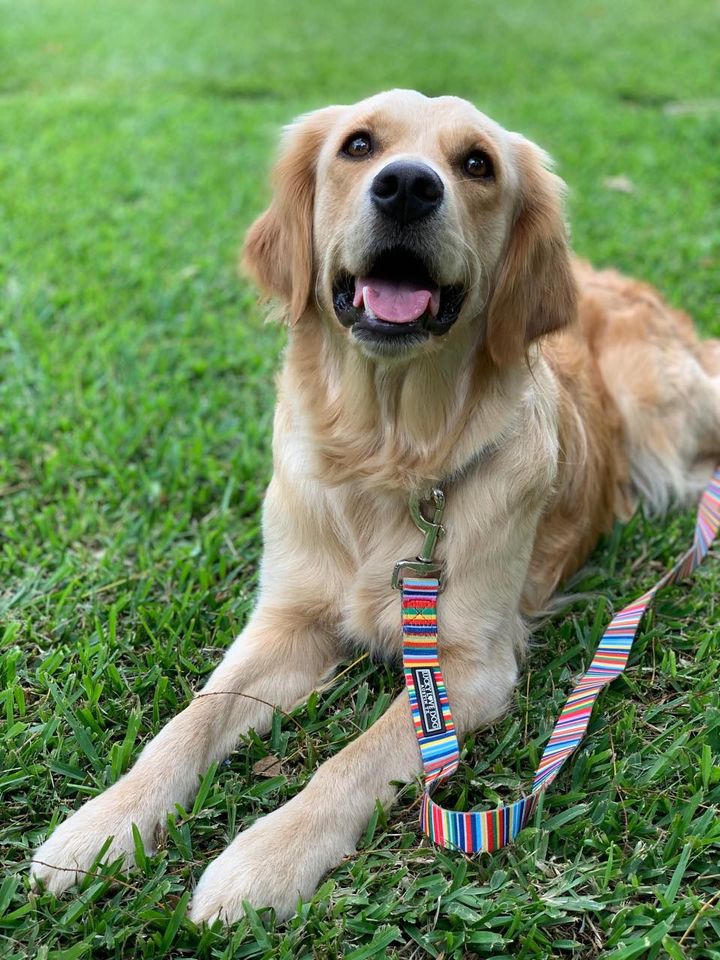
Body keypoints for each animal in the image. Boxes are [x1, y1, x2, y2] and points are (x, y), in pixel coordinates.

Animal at [31, 90, 720, 924]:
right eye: (359, 145)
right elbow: (191, 719)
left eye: (477, 164)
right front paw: (106, 822)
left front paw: (264, 860)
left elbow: (352, 761)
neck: (387, 454)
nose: (408, 187)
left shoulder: (469, 664)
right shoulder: (285, 621)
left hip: (660, 420)